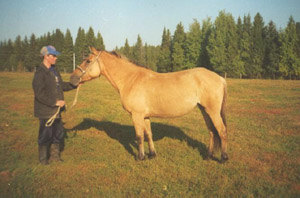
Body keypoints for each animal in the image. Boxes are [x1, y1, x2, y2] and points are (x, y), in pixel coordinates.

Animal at [70, 47, 229, 163]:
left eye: (88, 61)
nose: (72, 79)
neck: (131, 79)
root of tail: (220, 78)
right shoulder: (145, 116)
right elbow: (148, 134)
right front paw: (152, 154)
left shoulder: (136, 115)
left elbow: (139, 136)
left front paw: (140, 157)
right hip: (204, 110)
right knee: (212, 131)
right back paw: (208, 156)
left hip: (212, 111)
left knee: (221, 131)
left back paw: (223, 158)